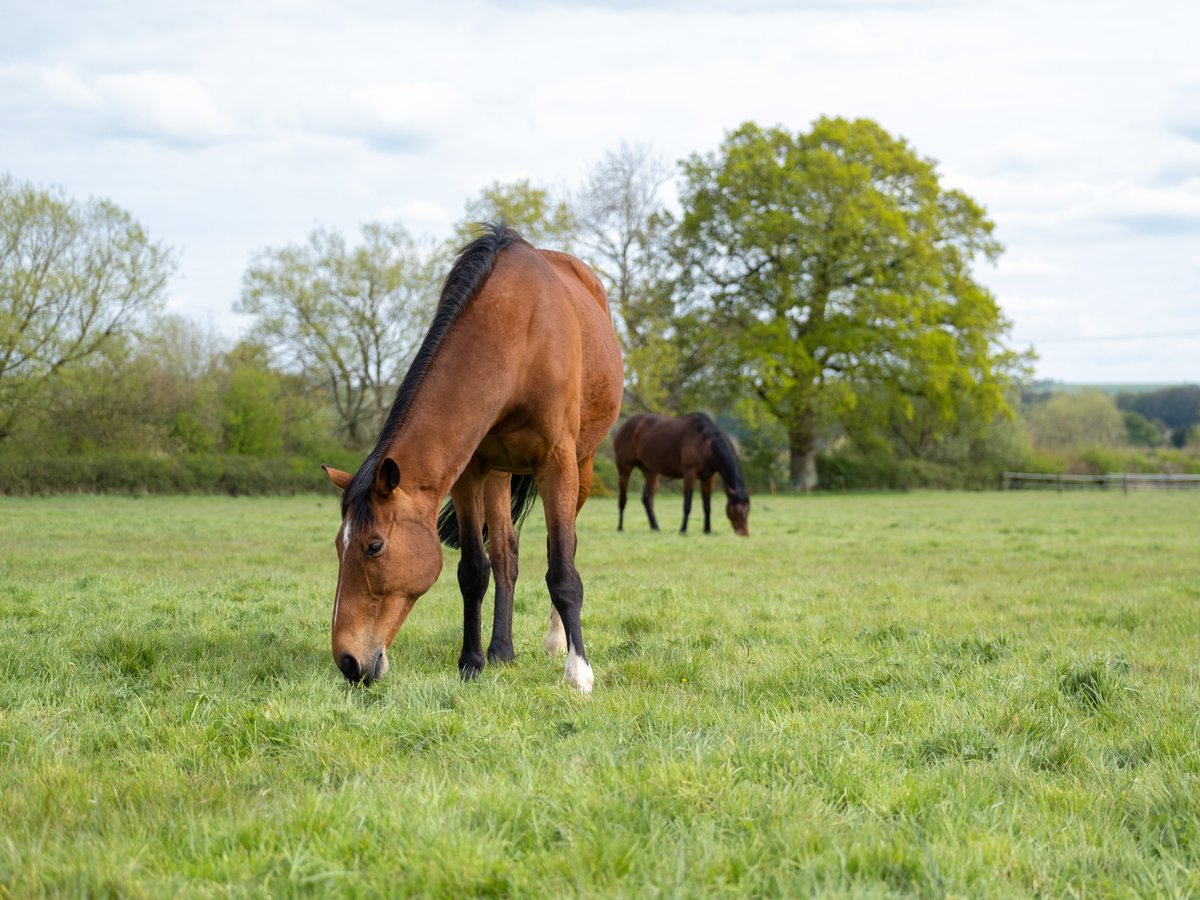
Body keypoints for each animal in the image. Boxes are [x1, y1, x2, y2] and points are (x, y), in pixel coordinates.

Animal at [321, 223, 623, 693]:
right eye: (340, 545)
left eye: (373, 546)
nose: (349, 662)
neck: (518, 335)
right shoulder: (469, 470)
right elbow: (474, 570)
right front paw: (471, 663)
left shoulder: (557, 463)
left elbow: (562, 570)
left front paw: (579, 673)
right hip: (500, 472)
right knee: (505, 553)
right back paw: (502, 650)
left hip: (583, 465)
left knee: (563, 547)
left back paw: (557, 641)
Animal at [614, 412, 750, 537]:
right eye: (736, 510)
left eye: (748, 509)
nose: (744, 534)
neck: (705, 442)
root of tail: (625, 425)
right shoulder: (690, 474)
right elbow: (687, 505)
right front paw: (683, 530)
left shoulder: (708, 477)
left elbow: (707, 506)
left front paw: (707, 530)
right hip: (625, 468)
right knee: (623, 499)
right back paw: (620, 528)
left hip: (651, 472)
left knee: (647, 499)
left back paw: (655, 527)